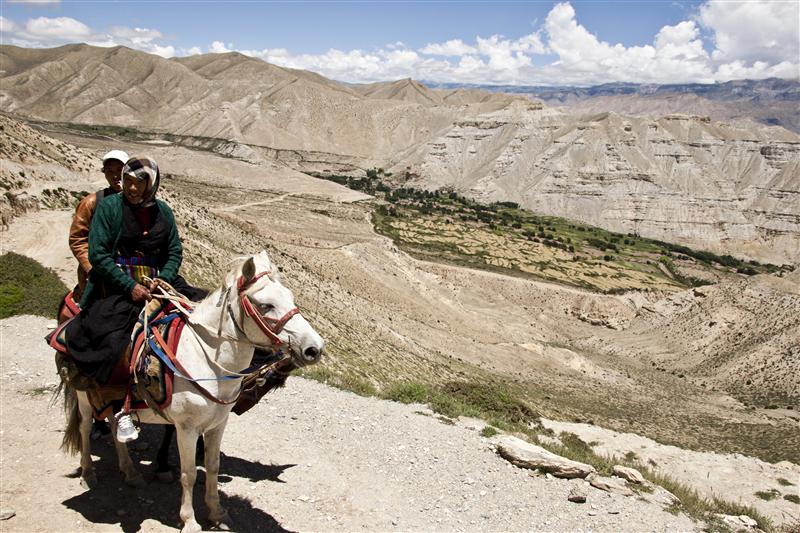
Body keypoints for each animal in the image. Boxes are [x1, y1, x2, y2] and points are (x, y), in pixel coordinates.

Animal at [61, 250, 324, 532]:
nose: (314, 348)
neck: (207, 360)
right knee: (85, 427)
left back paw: (130, 472)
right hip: (83, 395)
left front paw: (218, 513)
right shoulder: (186, 428)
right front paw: (189, 520)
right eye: (266, 305)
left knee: (113, 421)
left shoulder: (218, 425)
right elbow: (188, 473)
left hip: (113, 396)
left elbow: (212, 467)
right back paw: (88, 474)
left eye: (291, 297)